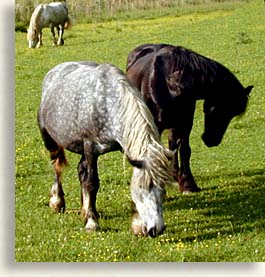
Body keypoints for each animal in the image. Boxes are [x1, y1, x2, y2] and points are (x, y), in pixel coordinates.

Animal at [37, 61, 173, 236]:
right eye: (142, 187)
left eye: (163, 187)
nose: (156, 229)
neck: (108, 103)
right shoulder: (90, 146)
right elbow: (92, 183)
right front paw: (91, 222)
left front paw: (136, 223)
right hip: (50, 141)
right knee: (57, 167)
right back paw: (57, 201)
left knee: (80, 170)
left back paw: (85, 209)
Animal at [126, 44, 252, 193]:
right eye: (219, 110)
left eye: (231, 114)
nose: (212, 140)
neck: (170, 87)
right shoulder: (155, 125)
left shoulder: (185, 123)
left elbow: (185, 150)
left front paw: (188, 184)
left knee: (172, 144)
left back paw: (175, 175)